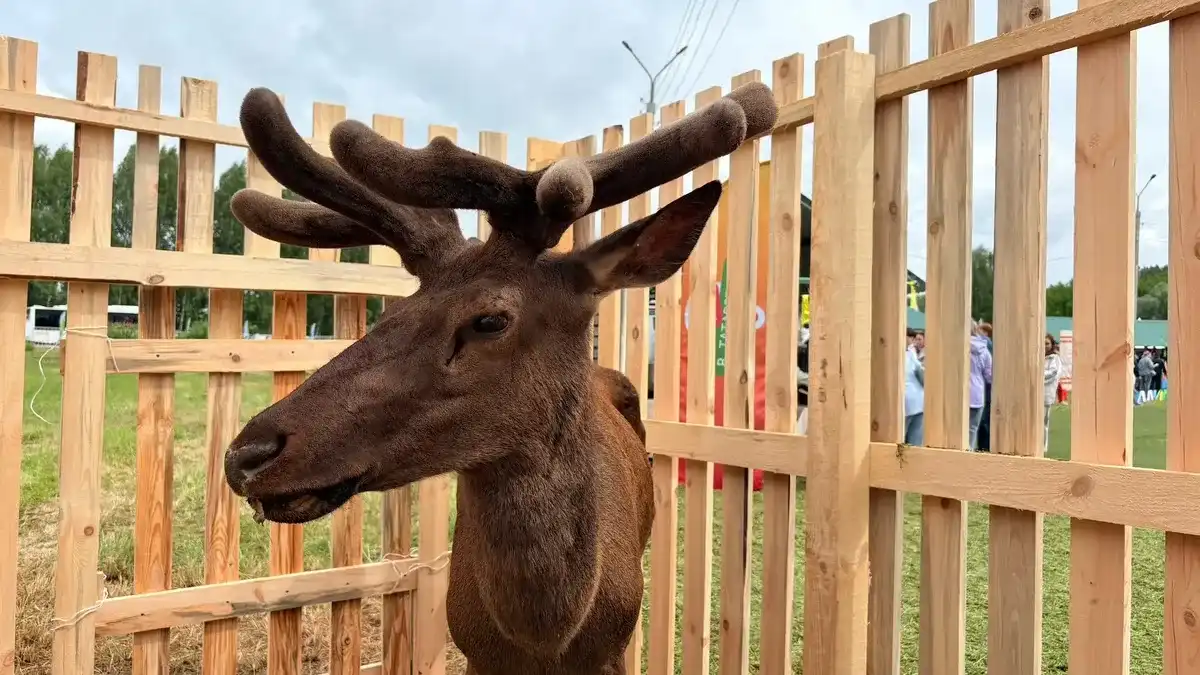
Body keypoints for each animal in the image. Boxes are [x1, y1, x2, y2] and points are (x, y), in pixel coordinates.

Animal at [221, 83, 778, 675]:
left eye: (489, 319)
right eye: (393, 310)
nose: (246, 454)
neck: (547, 638)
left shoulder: (614, 649)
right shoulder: (474, 649)